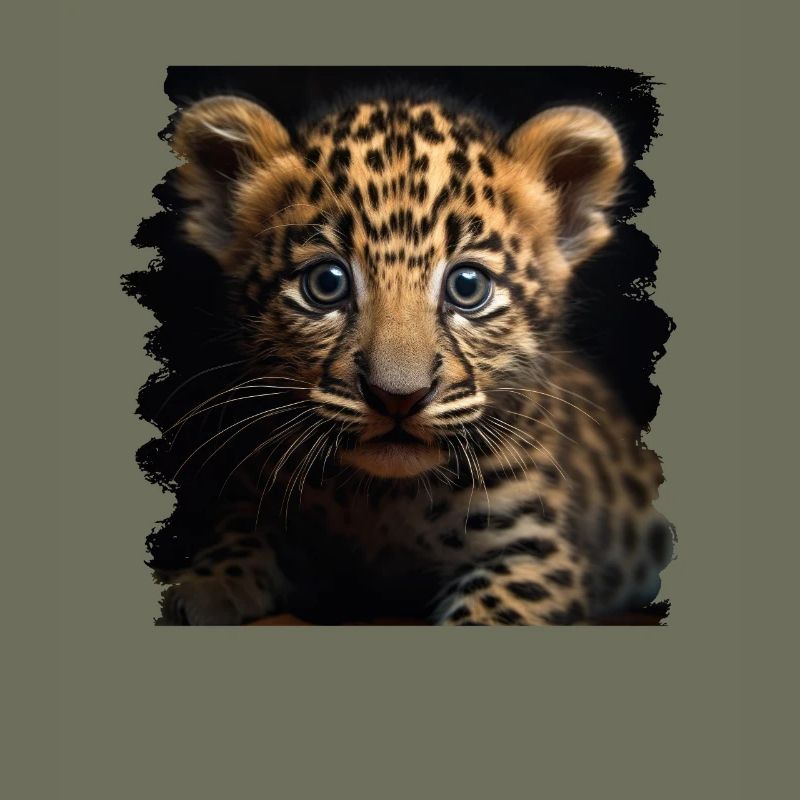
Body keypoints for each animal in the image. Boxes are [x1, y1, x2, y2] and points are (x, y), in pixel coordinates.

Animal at [153, 87, 675, 625]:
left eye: (468, 287)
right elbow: (238, 539)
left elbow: (489, 614)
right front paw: (203, 587)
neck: (382, 500)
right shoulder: (263, 502)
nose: (398, 398)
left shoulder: (535, 550)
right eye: (326, 283)